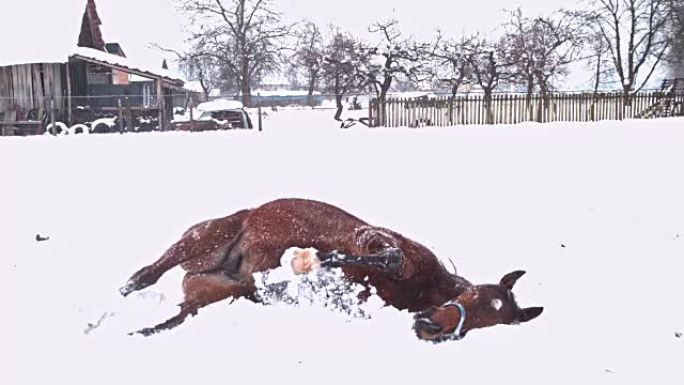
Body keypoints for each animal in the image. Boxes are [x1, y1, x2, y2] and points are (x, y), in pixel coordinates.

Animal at [120, 198, 544, 340]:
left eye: (490, 324)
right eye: (472, 295)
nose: (432, 328)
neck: (423, 286)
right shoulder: (377, 240)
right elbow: (384, 256)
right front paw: (312, 261)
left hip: (215, 291)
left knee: (178, 316)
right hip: (202, 239)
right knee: (148, 272)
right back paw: (127, 291)